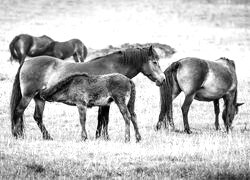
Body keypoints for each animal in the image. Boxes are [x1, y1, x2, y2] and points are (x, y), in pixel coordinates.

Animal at [10, 45, 166, 140]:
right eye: (154, 62)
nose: (163, 79)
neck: (113, 66)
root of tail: (26, 62)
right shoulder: (106, 103)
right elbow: (104, 119)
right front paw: (104, 137)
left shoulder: (104, 102)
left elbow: (102, 119)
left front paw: (100, 137)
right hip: (28, 96)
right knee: (18, 111)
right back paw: (17, 135)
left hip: (39, 98)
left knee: (37, 117)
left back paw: (47, 137)